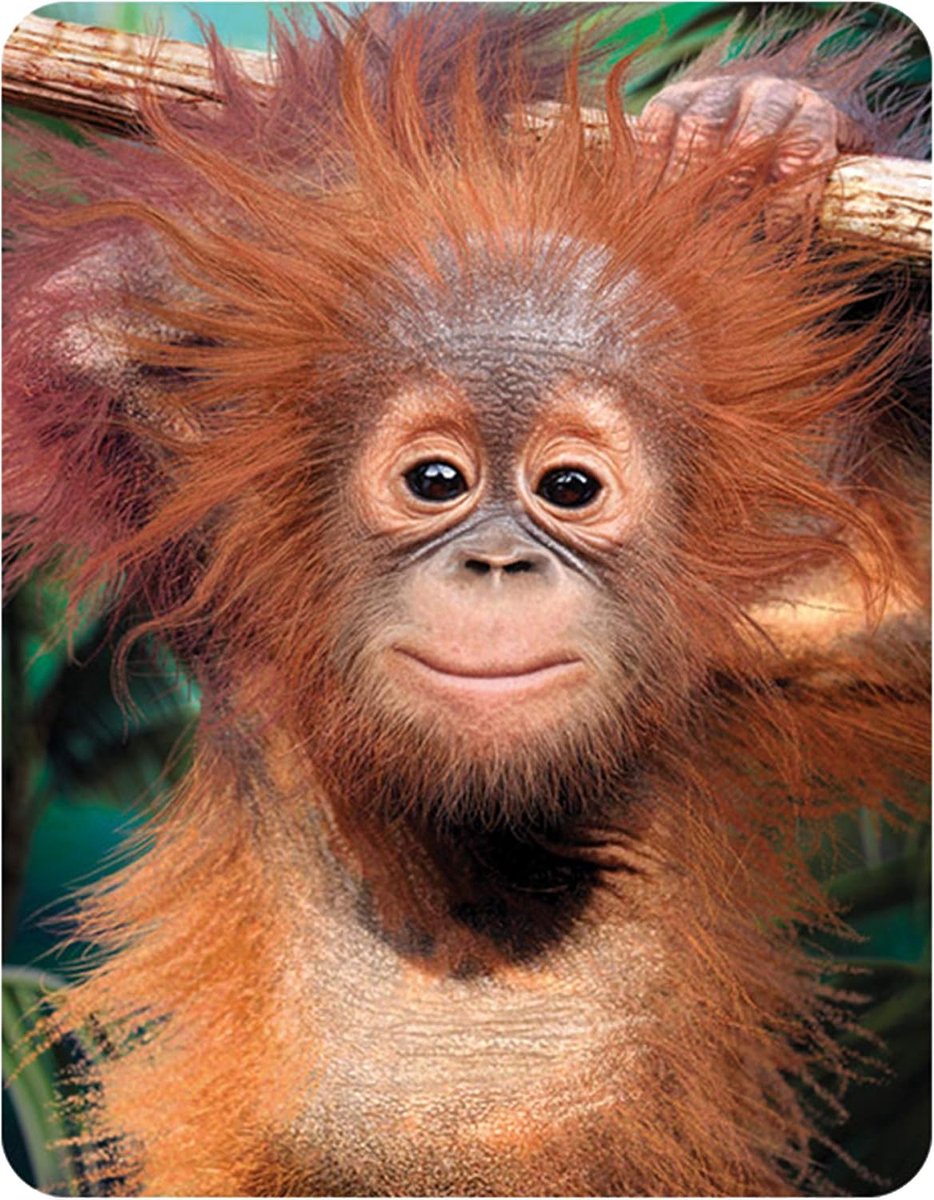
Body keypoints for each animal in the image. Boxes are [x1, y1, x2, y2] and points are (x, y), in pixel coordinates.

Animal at [3, 4, 929, 1196]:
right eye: (435, 480)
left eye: (569, 489)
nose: (495, 563)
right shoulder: (226, 559)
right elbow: (87, 322)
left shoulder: (774, 640)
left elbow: (908, 608)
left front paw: (765, 120)